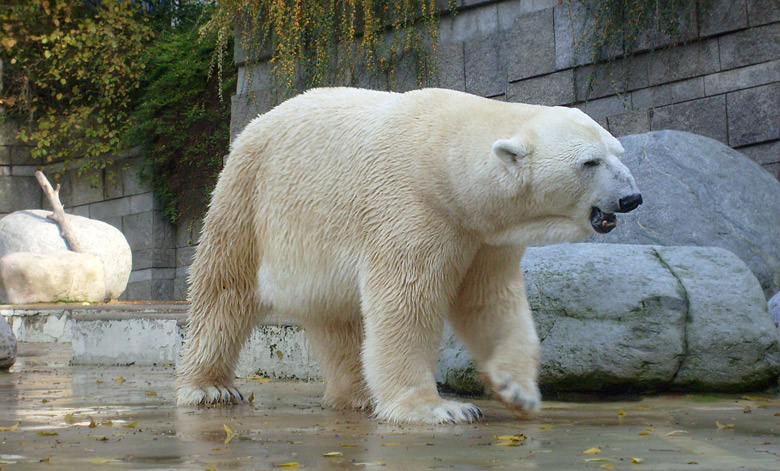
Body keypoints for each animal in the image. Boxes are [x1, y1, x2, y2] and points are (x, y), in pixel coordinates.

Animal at [177, 86, 640, 426]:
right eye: (590, 161)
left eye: (619, 152)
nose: (631, 197)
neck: (446, 154)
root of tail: (253, 124)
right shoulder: (413, 208)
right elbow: (407, 302)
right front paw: (438, 408)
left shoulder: (482, 235)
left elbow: (490, 303)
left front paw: (518, 390)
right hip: (248, 197)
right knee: (224, 289)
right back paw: (209, 387)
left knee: (337, 318)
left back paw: (358, 395)